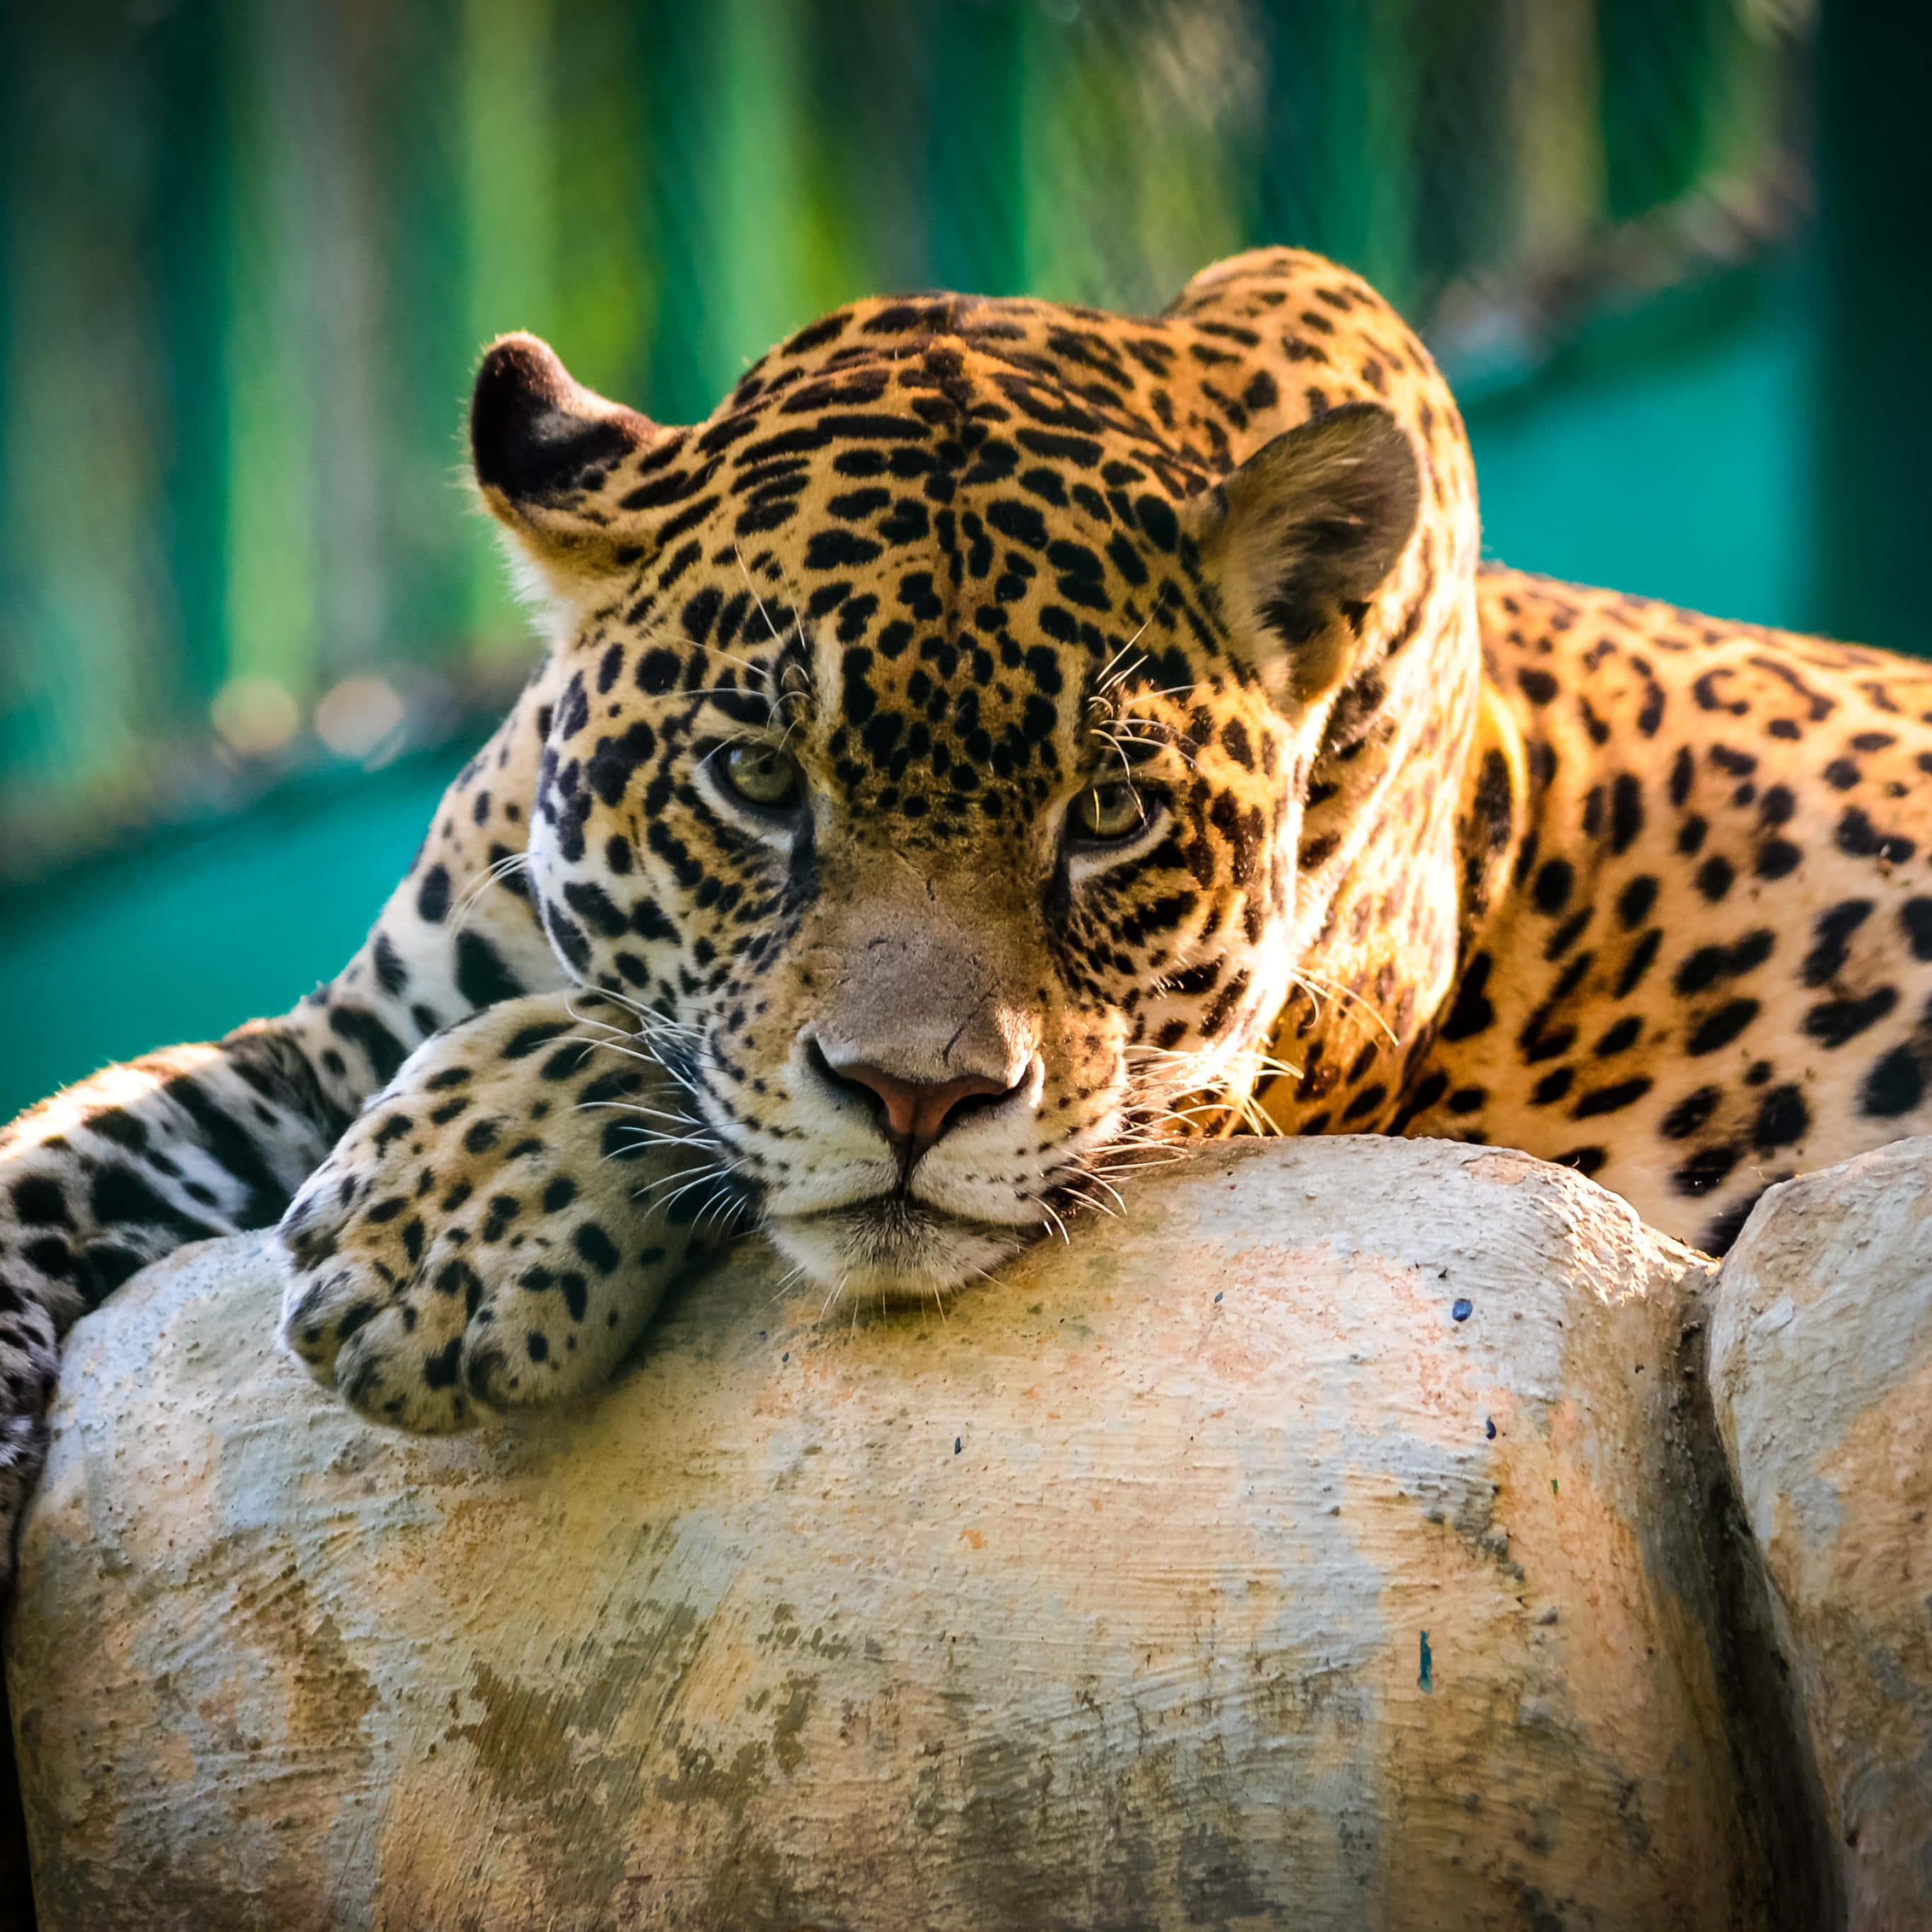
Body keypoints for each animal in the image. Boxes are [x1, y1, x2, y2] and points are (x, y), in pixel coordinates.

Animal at [2, 246, 1929, 1590]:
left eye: (1111, 817)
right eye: (755, 780)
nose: (921, 1100)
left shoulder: (1246, 1066)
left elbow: (637, 1044)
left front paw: (444, 1234)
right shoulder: (324, 1045)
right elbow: (62, 1149)